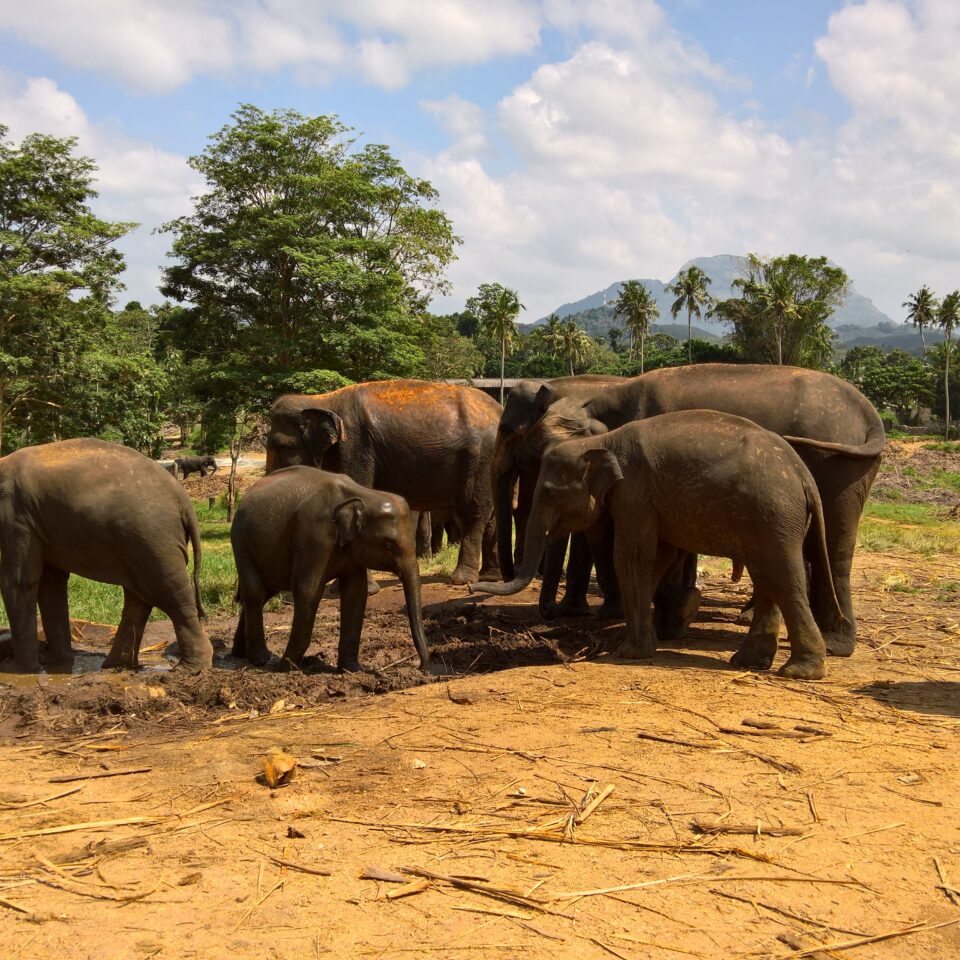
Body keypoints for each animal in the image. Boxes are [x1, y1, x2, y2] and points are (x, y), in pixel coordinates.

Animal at [0, 439, 212, 673]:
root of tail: (183, 499)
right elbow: (51, 585)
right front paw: (56, 664)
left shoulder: (17, 518)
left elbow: (19, 582)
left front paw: (19, 671)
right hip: (143, 543)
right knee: (139, 599)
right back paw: (116, 665)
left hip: (155, 539)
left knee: (170, 596)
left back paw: (189, 669)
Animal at [230, 466, 431, 672]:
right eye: (389, 545)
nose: (421, 668)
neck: (362, 495)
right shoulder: (315, 538)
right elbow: (308, 591)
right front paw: (284, 667)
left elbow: (356, 593)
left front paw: (352, 670)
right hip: (240, 542)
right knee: (255, 593)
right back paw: (260, 659)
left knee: (264, 593)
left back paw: (240, 654)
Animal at [266, 379, 502, 585]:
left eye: (280, 447)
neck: (322, 400)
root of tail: (499, 410)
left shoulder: (355, 449)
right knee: (490, 515)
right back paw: (490, 577)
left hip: (481, 458)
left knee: (474, 511)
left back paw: (461, 580)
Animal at [472, 408, 843, 680]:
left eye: (549, 492)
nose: (475, 587)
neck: (604, 440)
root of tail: (805, 476)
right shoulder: (646, 501)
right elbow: (659, 557)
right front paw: (638, 643)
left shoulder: (635, 492)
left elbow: (632, 557)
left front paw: (628, 653)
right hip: (769, 519)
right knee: (766, 575)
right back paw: (748, 662)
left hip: (773, 514)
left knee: (781, 575)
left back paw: (800, 672)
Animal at [494, 364, 883, 656]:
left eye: (510, 431)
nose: (548, 614)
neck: (602, 391)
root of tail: (870, 415)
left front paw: (668, 619)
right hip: (852, 469)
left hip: (838, 466)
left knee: (833, 548)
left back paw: (834, 644)